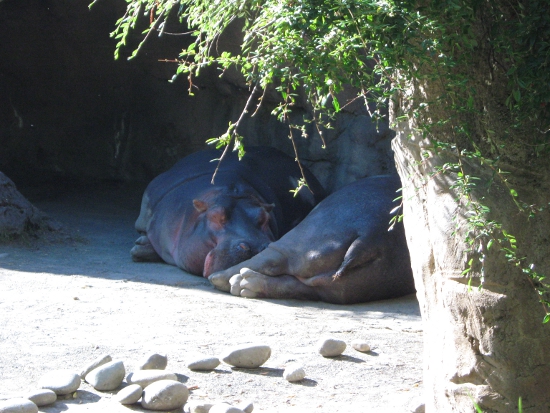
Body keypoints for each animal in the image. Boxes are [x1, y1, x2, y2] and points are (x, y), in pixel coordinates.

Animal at [209, 174, 416, 302]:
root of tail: (367, 238)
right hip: (348, 286)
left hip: (300, 241)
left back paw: (224, 280)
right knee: (299, 287)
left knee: (271, 260)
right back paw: (243, 283)